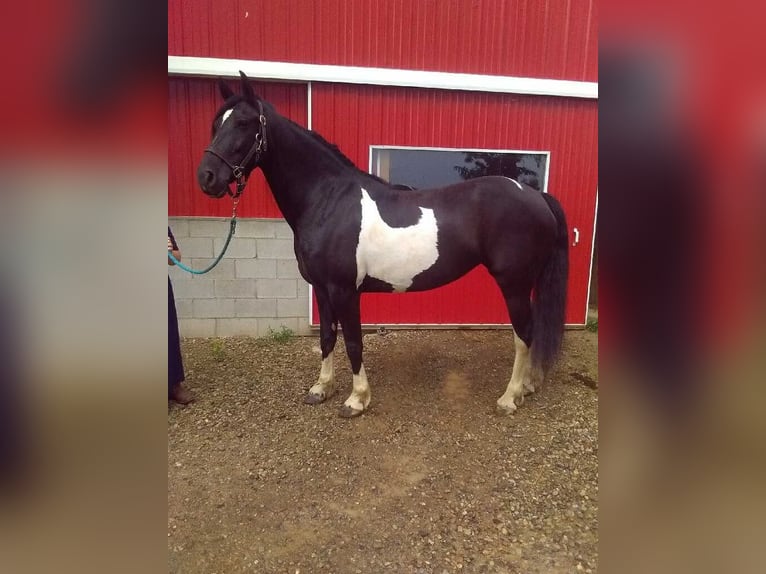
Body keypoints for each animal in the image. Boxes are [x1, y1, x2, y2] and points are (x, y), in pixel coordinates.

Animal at [196, 74, 568, 420]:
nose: (207, 177)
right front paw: (321, 389)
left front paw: (356, 400)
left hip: (514, 284)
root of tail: (536, 195)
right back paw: (528, 386)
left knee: (524, 334)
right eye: (215, 124)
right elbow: (327, 337)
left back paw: (510, 397)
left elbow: (353, 342)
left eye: (243, 123)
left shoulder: (344, 290)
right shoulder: (322, 289)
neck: (329, 199)